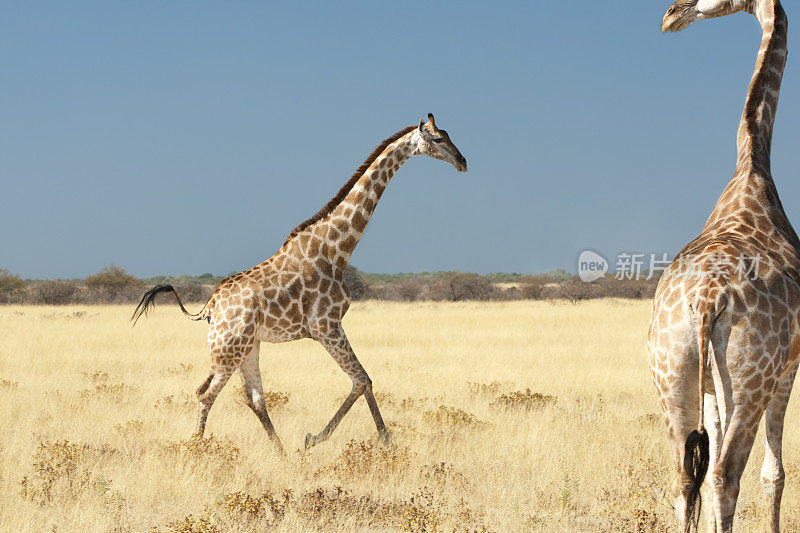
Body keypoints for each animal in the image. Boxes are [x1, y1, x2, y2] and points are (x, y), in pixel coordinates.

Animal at [133, 115, 468, 454]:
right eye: (438, 138)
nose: (462, 161)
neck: (336, 249)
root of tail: (209, 308)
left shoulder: (328, 327)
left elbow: (361, 381)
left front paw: (319, 440)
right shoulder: (326, 325)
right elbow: (362, 380)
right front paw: (355, 440)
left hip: (247, 346)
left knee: (253, 398)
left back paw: (281, 455)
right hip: (228, 347)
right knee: (206, 393)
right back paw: (198, 448)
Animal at [648, 2, 800, 528]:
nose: (671, 14)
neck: (752, 166)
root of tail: (707, 298)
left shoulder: (714, 385)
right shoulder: (788, 369)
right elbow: (775, 474)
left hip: (672, 372)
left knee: (684, 477)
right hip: (752, 379)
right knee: (726, 473)